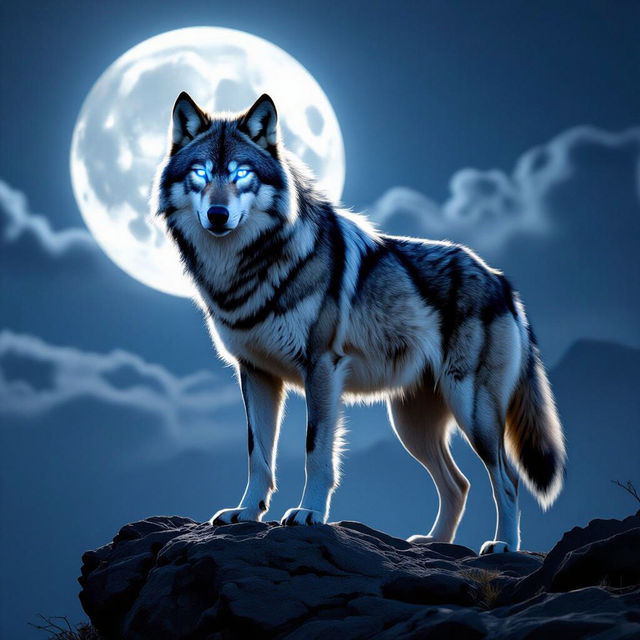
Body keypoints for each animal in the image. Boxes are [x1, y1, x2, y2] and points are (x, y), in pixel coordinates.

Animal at [152, 92, 566, 553]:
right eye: (201, 173)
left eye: (241, 173)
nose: (218, 214)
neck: (247, 269)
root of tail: (503, 282)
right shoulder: (255, 373)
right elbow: (258, 455)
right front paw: (245, 512)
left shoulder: (321, 369)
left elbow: (316, 450)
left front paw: (309, 513)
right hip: (412, 425)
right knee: (459, 484)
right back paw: (432, 544)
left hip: (471, 410)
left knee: (506, 479)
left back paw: (504, 547)